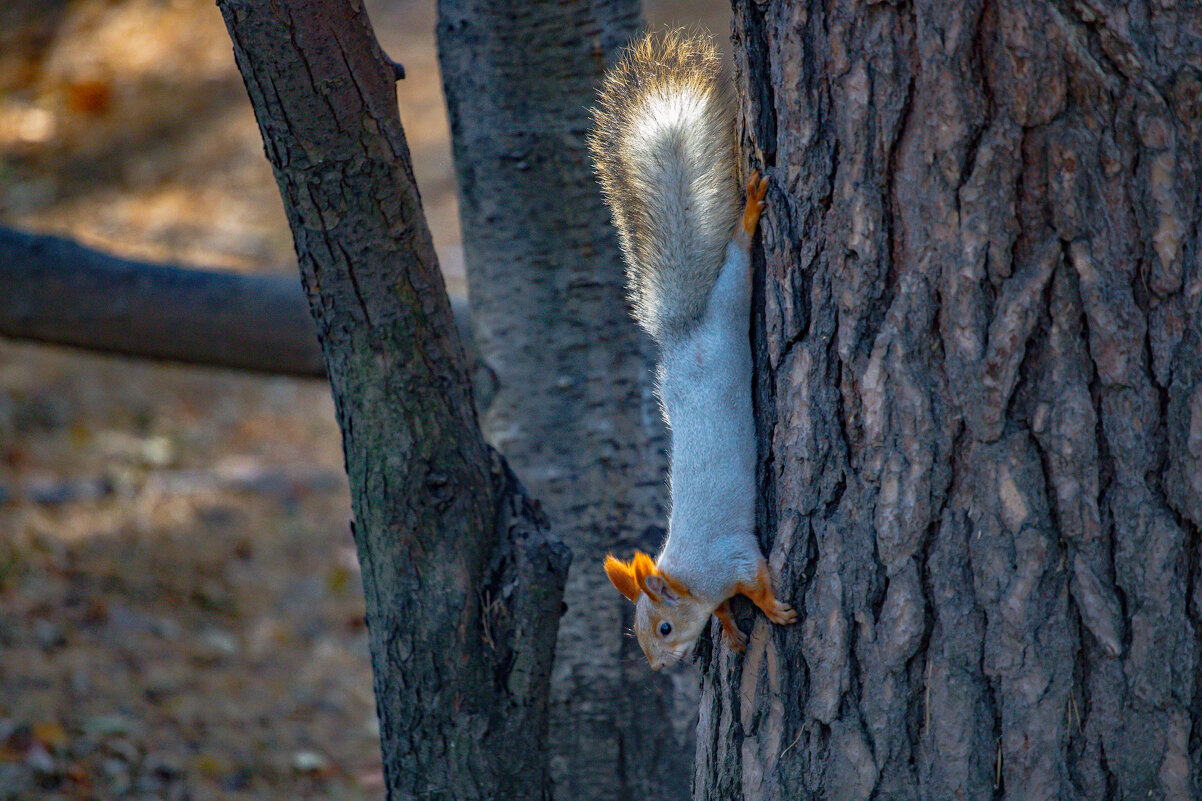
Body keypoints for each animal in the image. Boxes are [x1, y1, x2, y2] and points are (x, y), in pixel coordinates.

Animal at [591, 29, 798, 668]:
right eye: (637, 633)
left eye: (662, 628)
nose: (660, 666)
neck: (688, 575)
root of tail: (686, 335)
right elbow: (727, 609)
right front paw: (730, 630)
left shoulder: (733, 557)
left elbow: (756, 583)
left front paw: (772, 612)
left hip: (730, 306)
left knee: (737, 266)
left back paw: (751, 216)